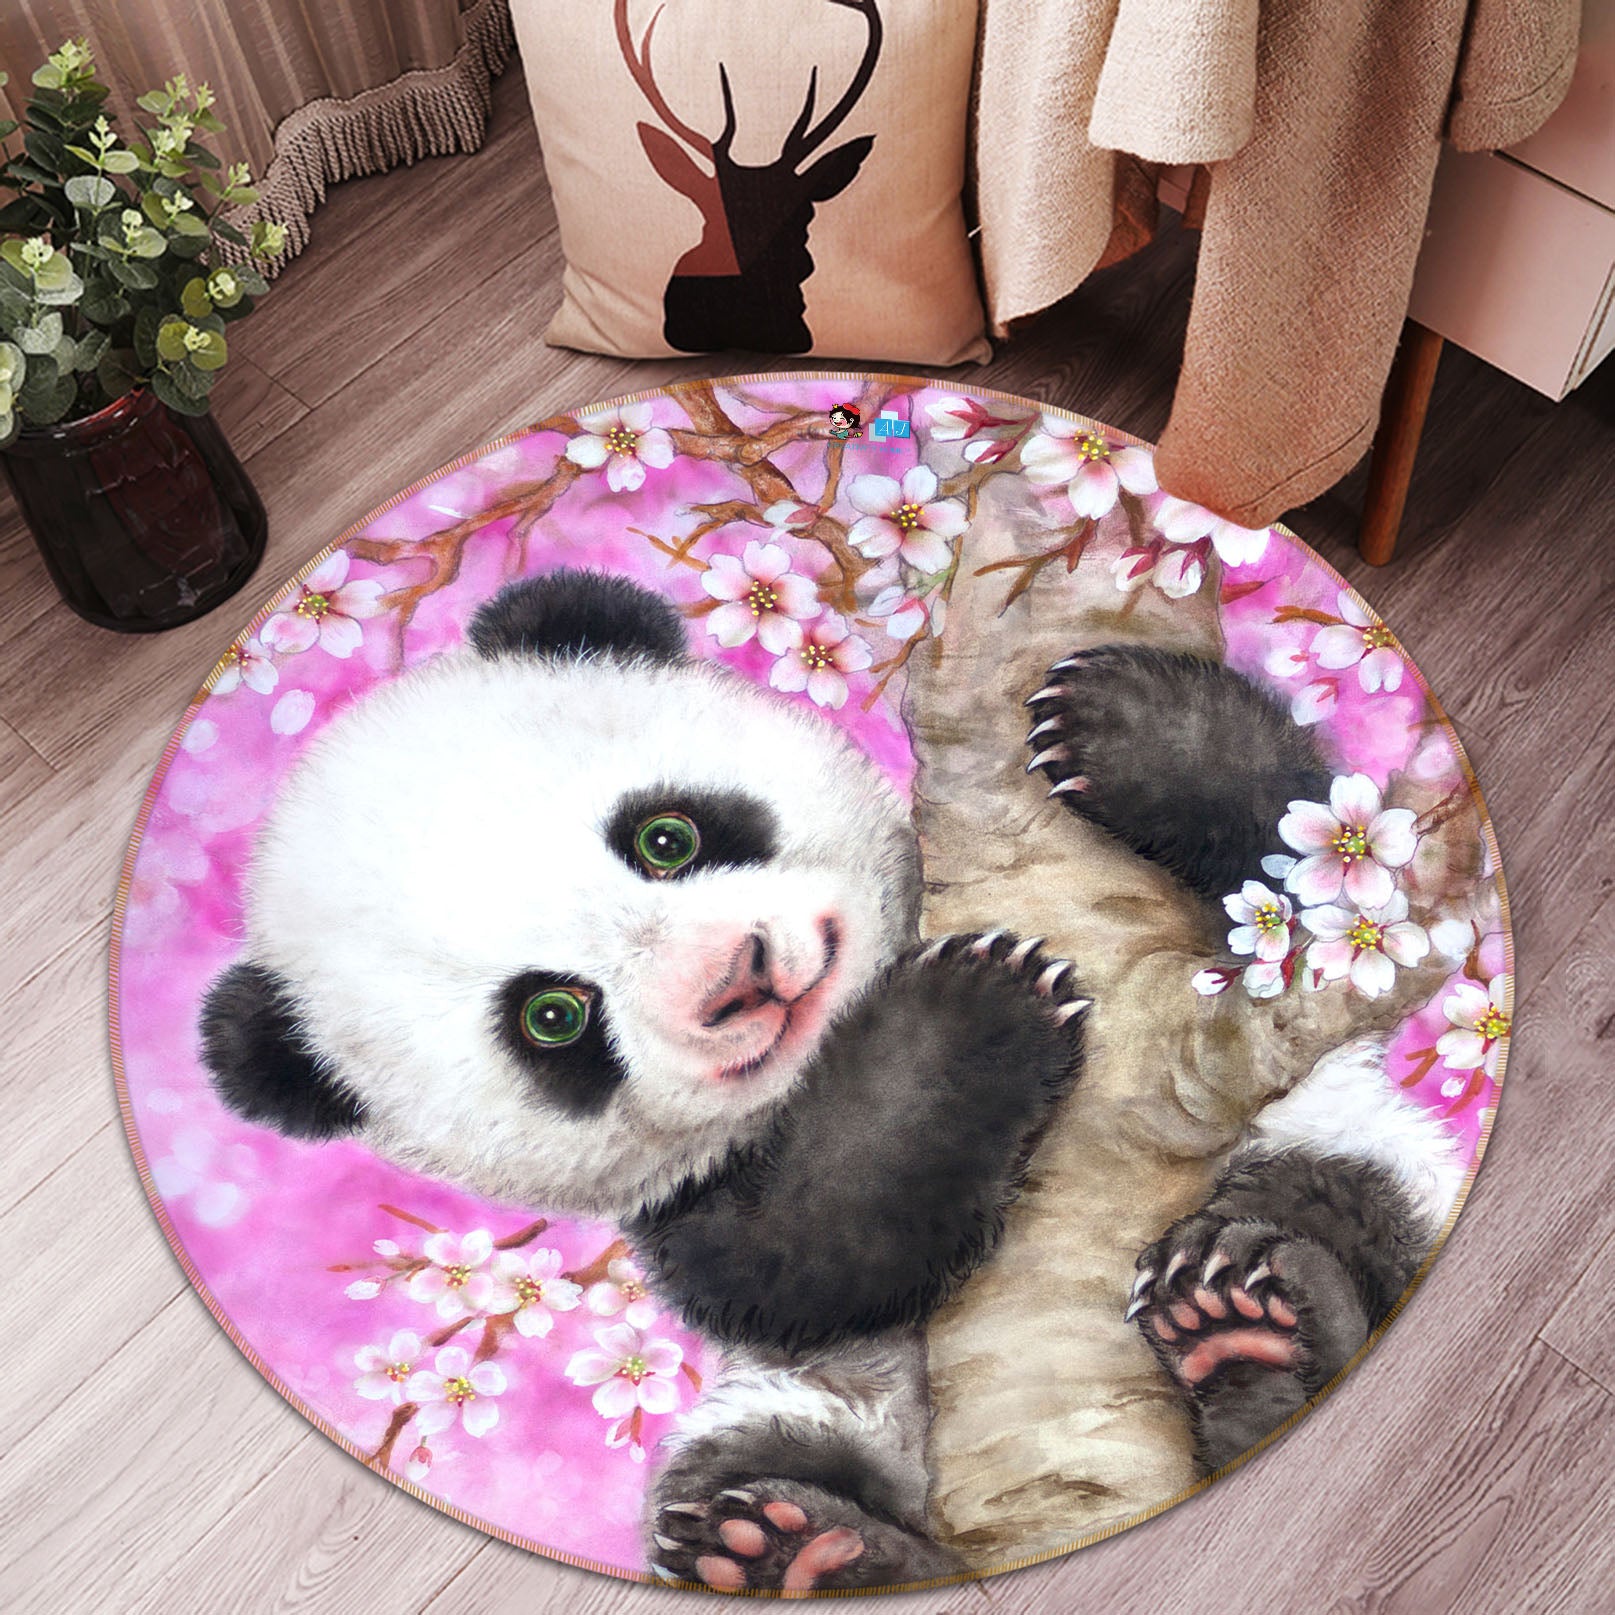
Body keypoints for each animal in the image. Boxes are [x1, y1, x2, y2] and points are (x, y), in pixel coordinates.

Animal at [199, 568, 1464, 1593]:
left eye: (666, 837)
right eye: (553, 1017)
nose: (740, 983)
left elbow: (1303, 853)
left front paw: (1119, 721)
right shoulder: (690, 1207)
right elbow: (813, 1250)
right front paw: (973, 1013)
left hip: (1345, 1146)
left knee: (1336, 1205)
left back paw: (1254, 1327)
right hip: (796, 1411)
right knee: (740, 1471)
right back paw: (803, 1549)